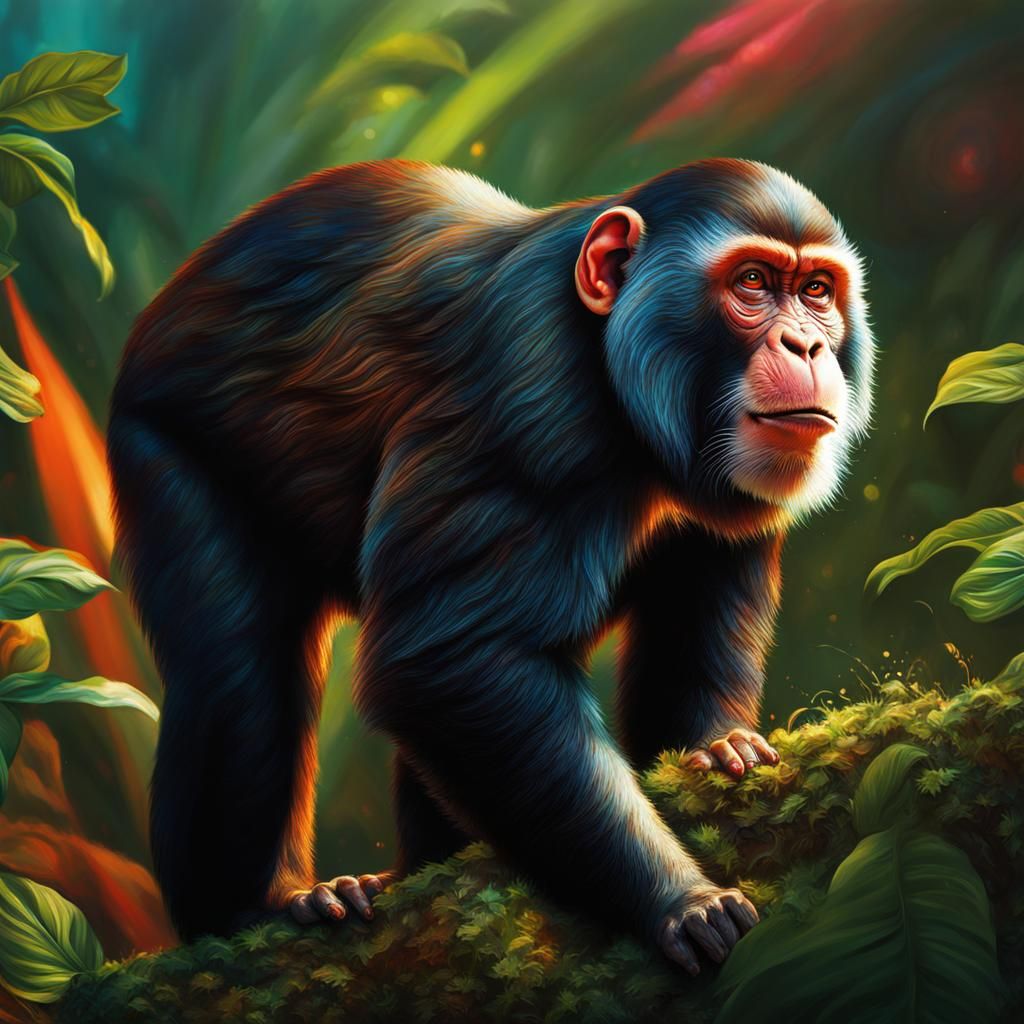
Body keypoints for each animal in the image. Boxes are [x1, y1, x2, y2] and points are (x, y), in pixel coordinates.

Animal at [107, 157, 874, 974]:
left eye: (816, 290)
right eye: (753, 282)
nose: (806, 344)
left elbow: (687, 628)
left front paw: (717, 745)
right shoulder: (524, 403)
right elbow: (452, 658)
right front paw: (679, 902)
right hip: (160, 440)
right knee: (240, 673)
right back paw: (258, 909)